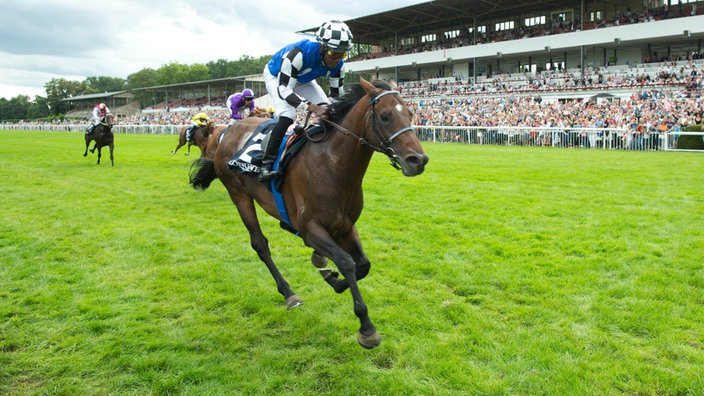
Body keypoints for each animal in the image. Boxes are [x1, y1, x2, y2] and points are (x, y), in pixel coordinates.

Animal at [188, 78, 428, 350]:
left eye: (410, 114)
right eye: (386, 116)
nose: (418, 160)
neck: (333, 166)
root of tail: (227, 131)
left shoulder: (346, 226)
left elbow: (363, 264)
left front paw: (331, 277)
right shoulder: (311, 229)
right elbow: (346, 262)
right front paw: (366, 328)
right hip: (239, 195)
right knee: (260, 244)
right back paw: (289, 293)